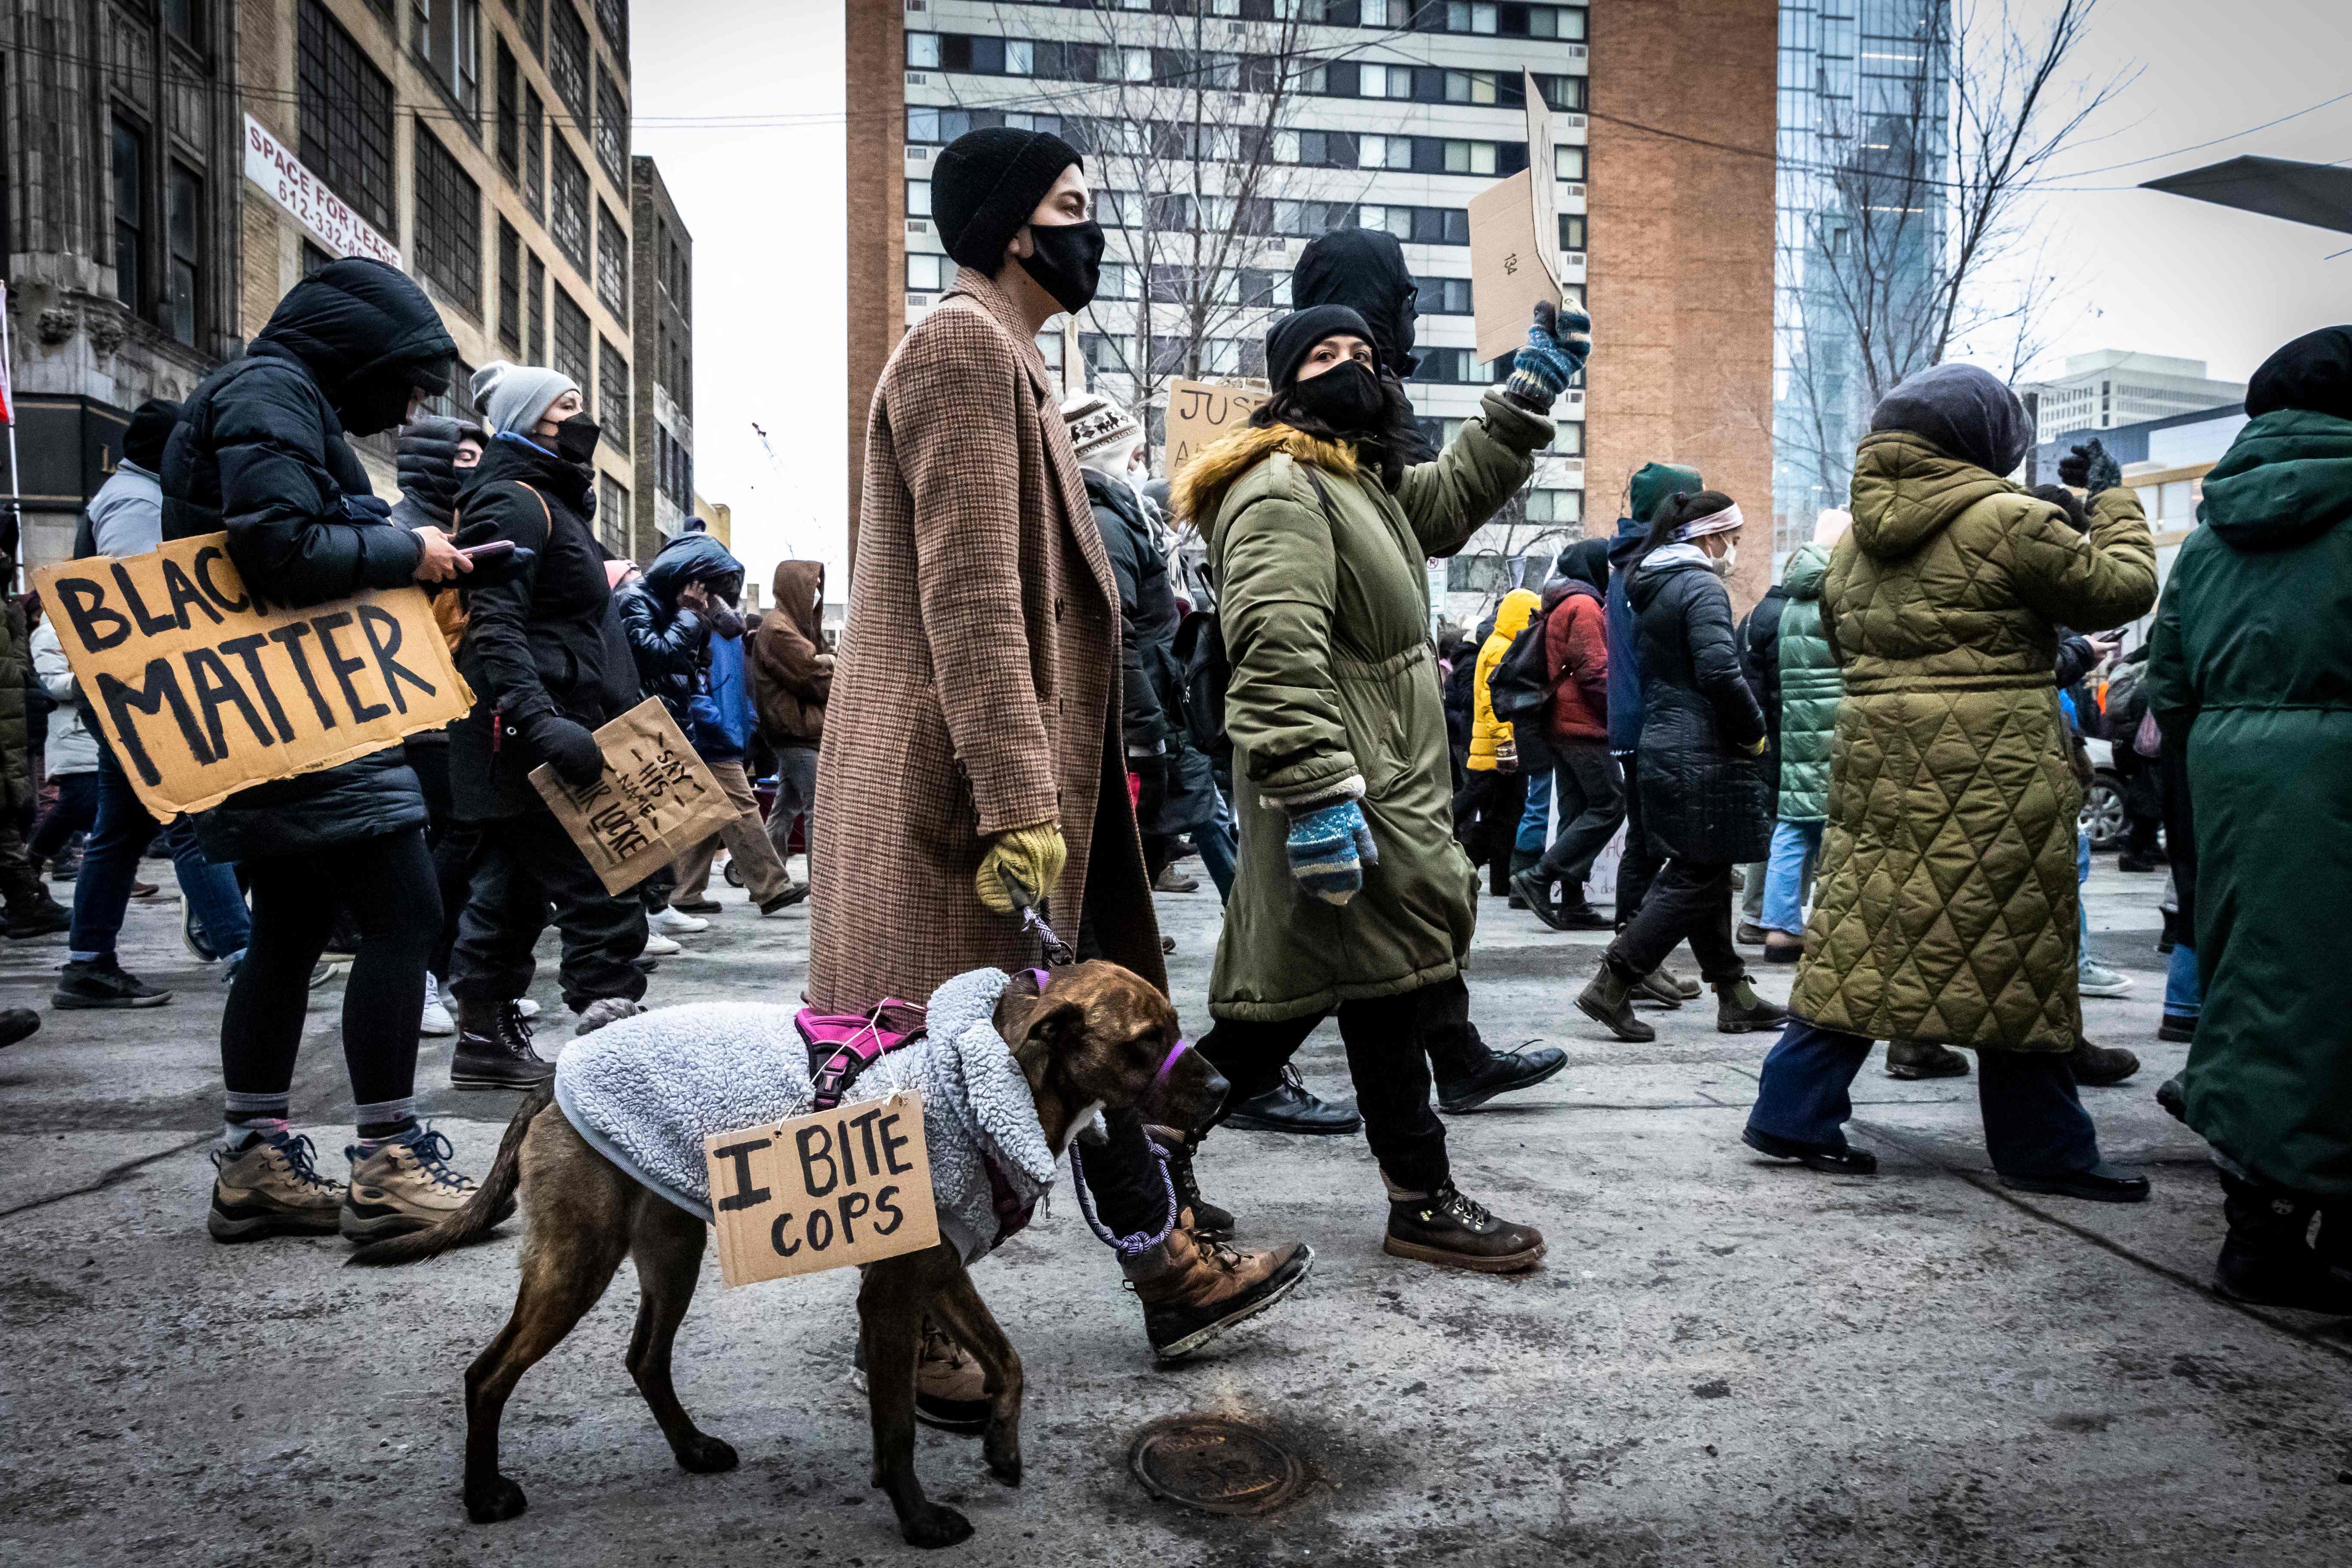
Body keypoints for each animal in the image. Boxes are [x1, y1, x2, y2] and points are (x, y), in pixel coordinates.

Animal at [355, 964, 1232, 1551]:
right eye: (1145, 1043)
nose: (1226, 1088)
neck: (996, 1076)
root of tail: (557, 1078)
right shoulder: (893, 1294)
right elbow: (896, 1428)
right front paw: (917, 1518)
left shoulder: (940, 1271)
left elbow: (1007, 1360)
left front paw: (1001, 1446)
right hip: (578, 1261)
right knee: (487, 1374)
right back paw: (482, 1495)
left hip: (670, 1249)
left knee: (645, 1357)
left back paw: (691, 1448)